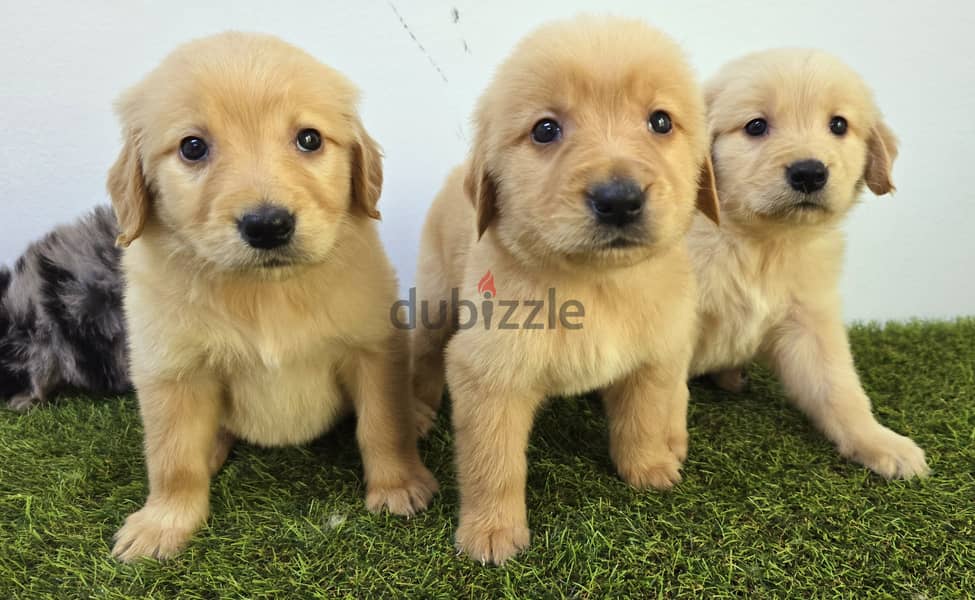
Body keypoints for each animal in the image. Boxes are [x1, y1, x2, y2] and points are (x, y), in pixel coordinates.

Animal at [107, 32, 438, 560]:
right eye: (192, 147)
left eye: (309, 139)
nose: (268, 225)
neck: (265, 293)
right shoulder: (169, 371)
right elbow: (173, 457)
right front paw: (163, 522)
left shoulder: (373, 349)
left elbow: (384, 425)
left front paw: (399, 485)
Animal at [408, 16, 720, 564]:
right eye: (545, 129)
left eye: (661, 121)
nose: (619, 200)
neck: (597, 284)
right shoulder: (488, 373)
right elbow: (494, 462)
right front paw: (491, 531)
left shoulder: (655, 351)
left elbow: (643, 414)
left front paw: (646, 466)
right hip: (436, 299)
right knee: (423, 354)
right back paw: (419, 409)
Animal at [688, 48, 932, 478]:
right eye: (755, 126)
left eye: (838, 124)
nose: (809, 172)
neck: (761, 243)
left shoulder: (810, 322)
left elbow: (839, 388)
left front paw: (880, 442)